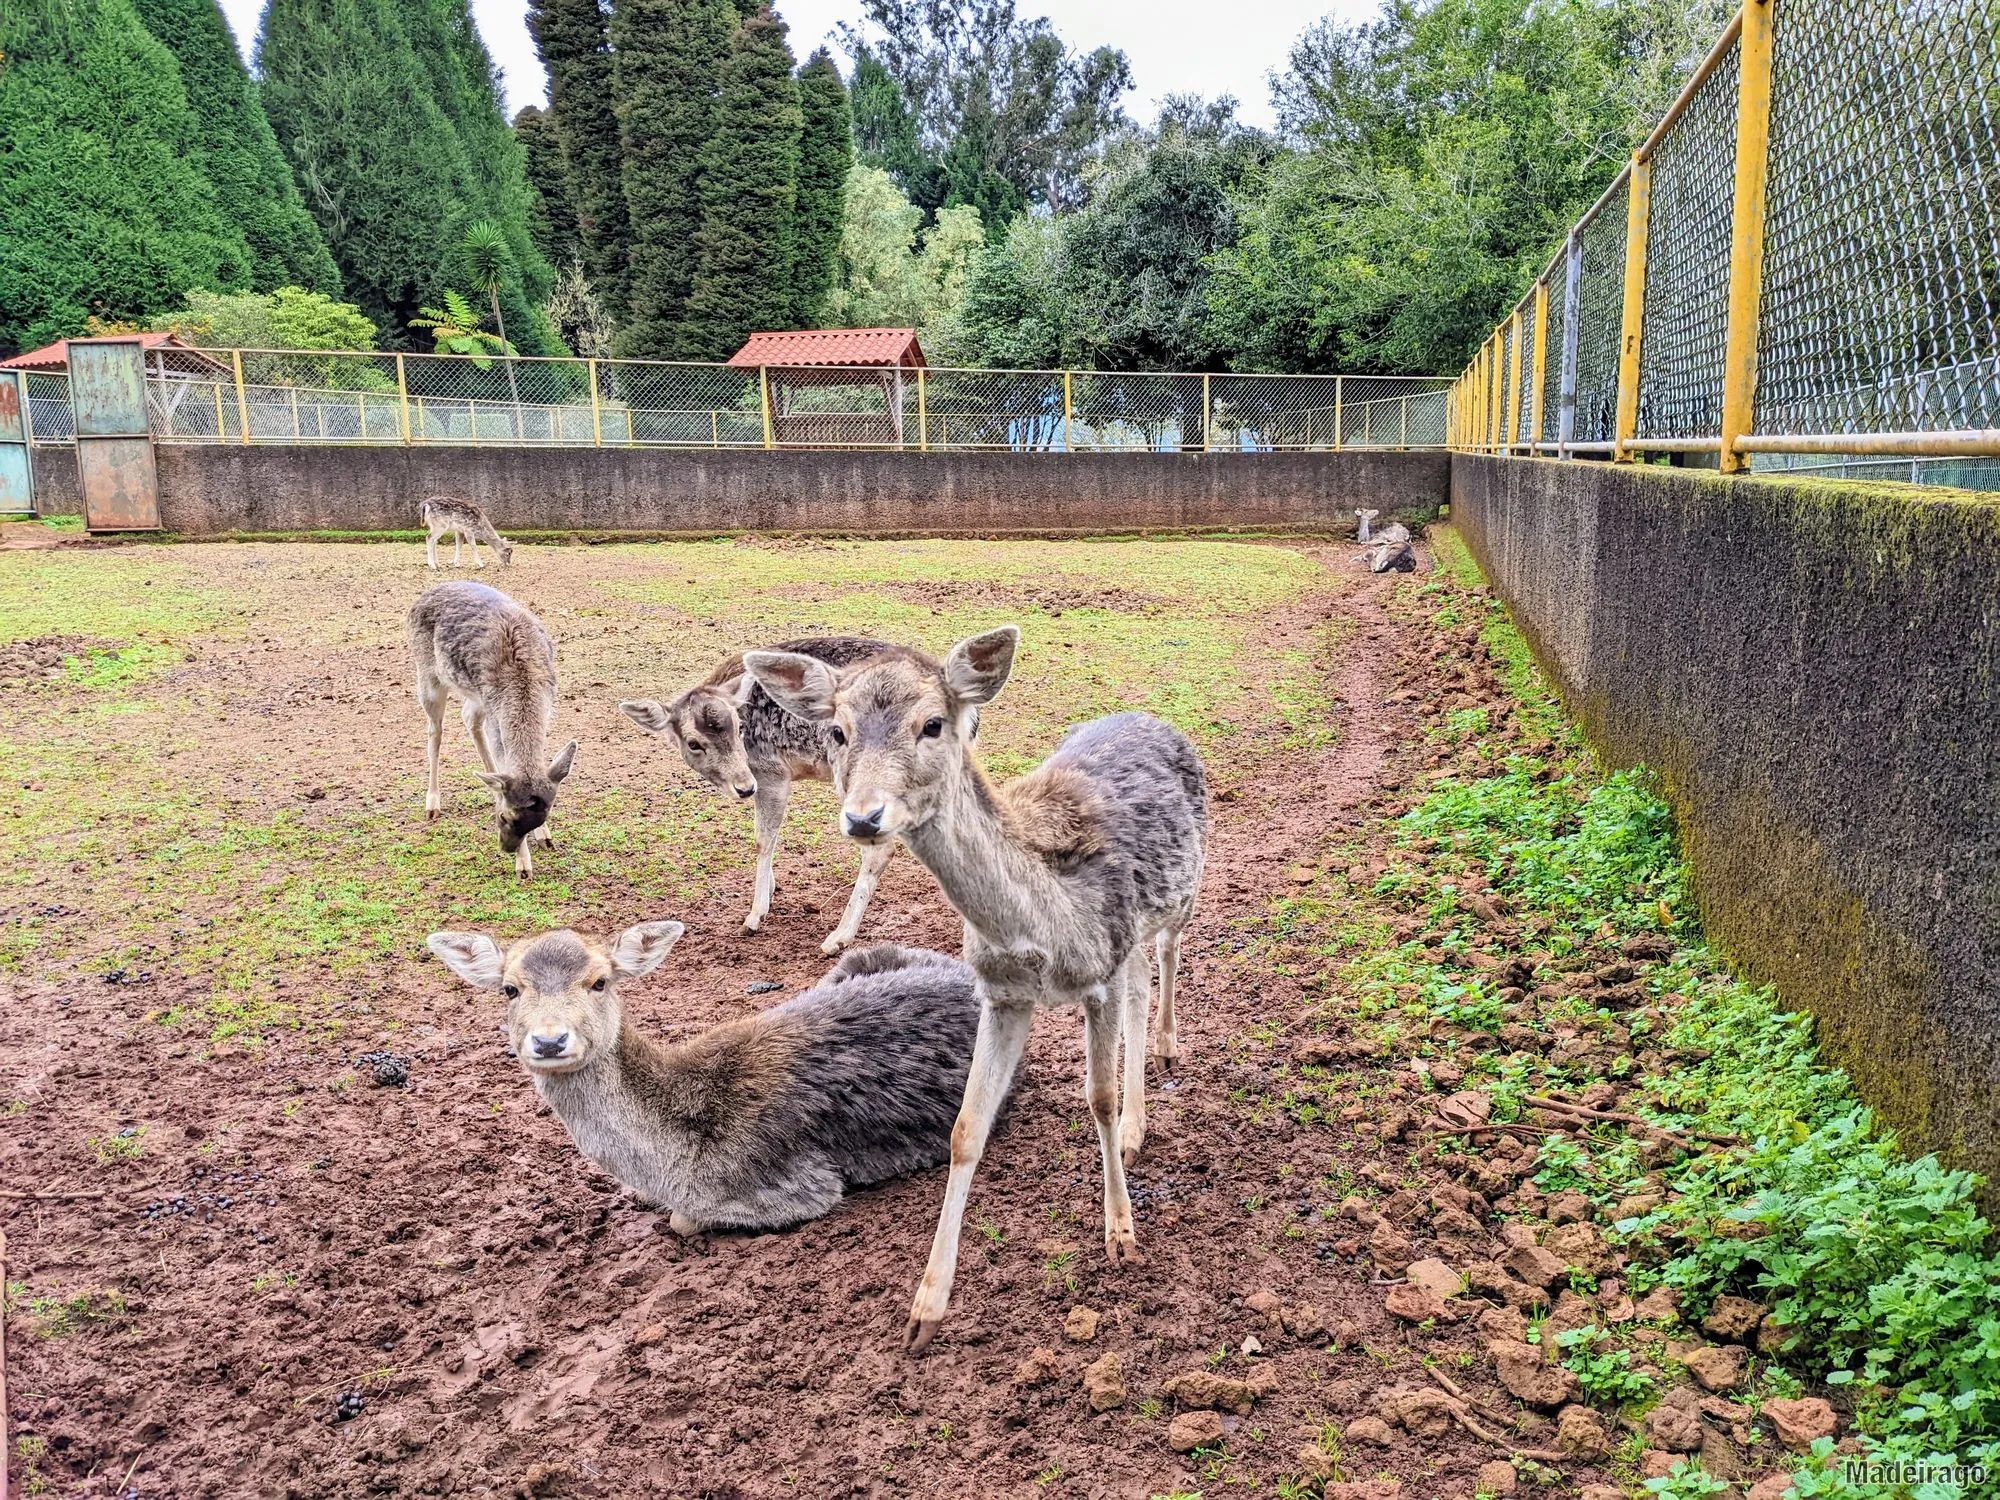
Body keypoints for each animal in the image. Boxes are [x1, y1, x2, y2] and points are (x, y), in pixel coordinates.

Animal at [408, 580, 576, 880]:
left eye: (540, 819)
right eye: (503, 816)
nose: (506, 848)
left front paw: (545, 838)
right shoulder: (496, 716)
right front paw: (524, 867)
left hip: (475, 696)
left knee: (468, 719)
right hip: (428, 675)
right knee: (434, 730)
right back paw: (432, 806)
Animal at [616, 636, 900, 952]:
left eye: (739, 726)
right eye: (693, 743)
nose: (744, 787)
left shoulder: (771, 772)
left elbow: (763, 839)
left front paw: (756, 914)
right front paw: (772, 888)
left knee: (880, 849)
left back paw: (838, 937)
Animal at [748, 628, 1200, 1360]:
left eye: (933, 724)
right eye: (838, 731)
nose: (864, 818)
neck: (1042, 930)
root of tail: (1149, 716)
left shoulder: (1097, 976)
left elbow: (1097, 1100)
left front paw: (1122, 1238)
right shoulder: (1003, 993)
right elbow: (965, 1128)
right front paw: (924, 1312)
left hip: (1183, 891)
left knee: (1166, 954)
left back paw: (1165, 1050)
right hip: (1130, 934)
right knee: (1140, 979)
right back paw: (1139, 1126)